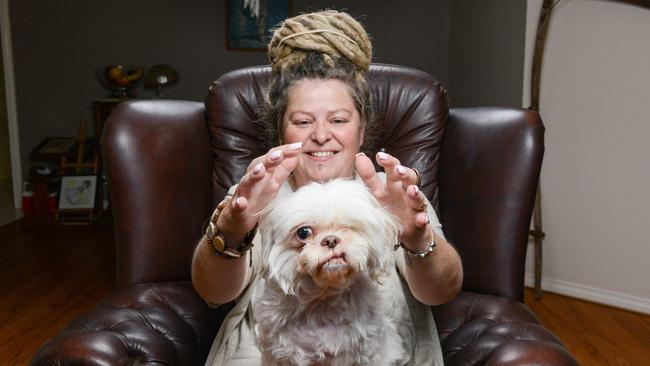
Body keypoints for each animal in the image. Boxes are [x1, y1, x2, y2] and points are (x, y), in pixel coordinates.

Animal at [249, 179, 410, 364]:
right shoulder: (280, 354)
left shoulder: (367, 352)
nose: (331, 240)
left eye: (348, 228)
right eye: (303, 232)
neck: (323, 299)